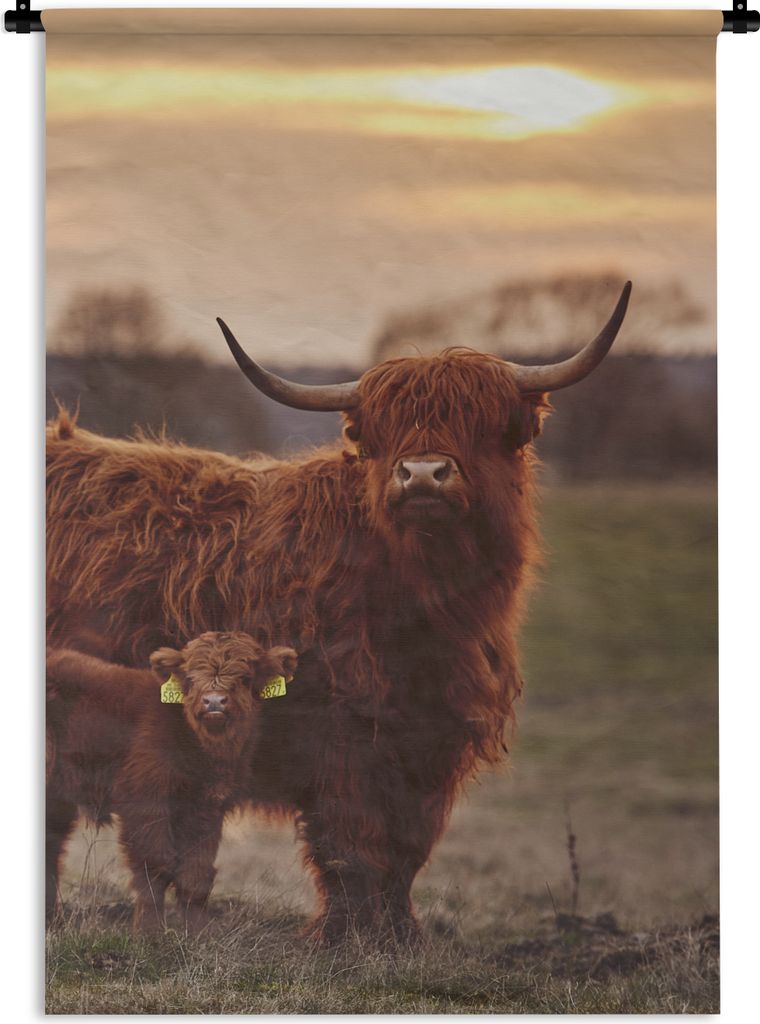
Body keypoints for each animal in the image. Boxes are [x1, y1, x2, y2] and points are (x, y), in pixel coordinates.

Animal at [46, 633, 297, 931]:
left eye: (245, 677)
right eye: (190, 677)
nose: (214, 702)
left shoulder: (207, 806)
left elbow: (196, 873)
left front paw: (199, 933)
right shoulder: (146, 802)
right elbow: (156, 866)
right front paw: (149, 932)